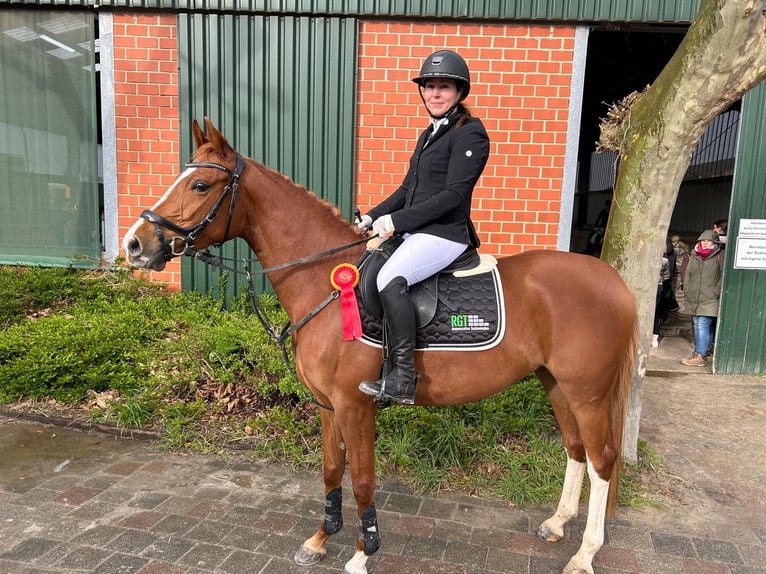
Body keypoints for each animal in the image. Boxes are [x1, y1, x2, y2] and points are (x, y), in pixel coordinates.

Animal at [126, 118, 640, 574]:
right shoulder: (327, 406)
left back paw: (584, 554)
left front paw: (361, 553)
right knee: (576, 449)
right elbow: (331, 471)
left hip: (588, 391)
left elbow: (362, 480)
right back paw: (557, 523)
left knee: (602, 461)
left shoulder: (355, 406)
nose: (135, 244)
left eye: (199, 186)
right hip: (556, 383)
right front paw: (320, 540)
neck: (323, 281)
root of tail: (614, 282)